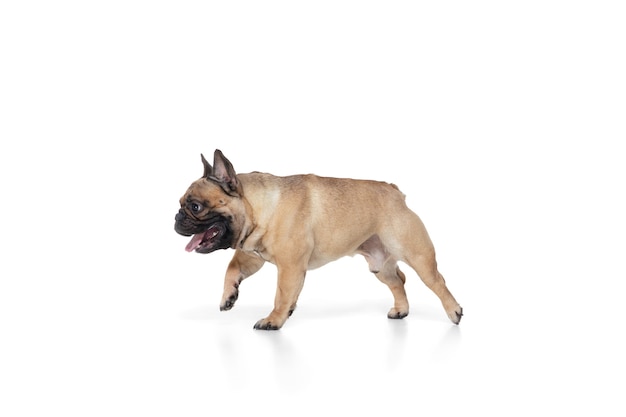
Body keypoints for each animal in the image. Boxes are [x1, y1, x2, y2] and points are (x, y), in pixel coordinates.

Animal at [173, 150, 460, 328]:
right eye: (180, 204)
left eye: (195, 206)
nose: (177, 217)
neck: (260, 207)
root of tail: (395, 192)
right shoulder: (252, 257)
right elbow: (232, 269)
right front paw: (228, 296)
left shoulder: (290, 267)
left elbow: (281, 294)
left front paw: (273, 320)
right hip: (379, 264)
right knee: (398, 281)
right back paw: (401, 310)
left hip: (417, 254)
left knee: (437, 281)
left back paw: (454, 312)